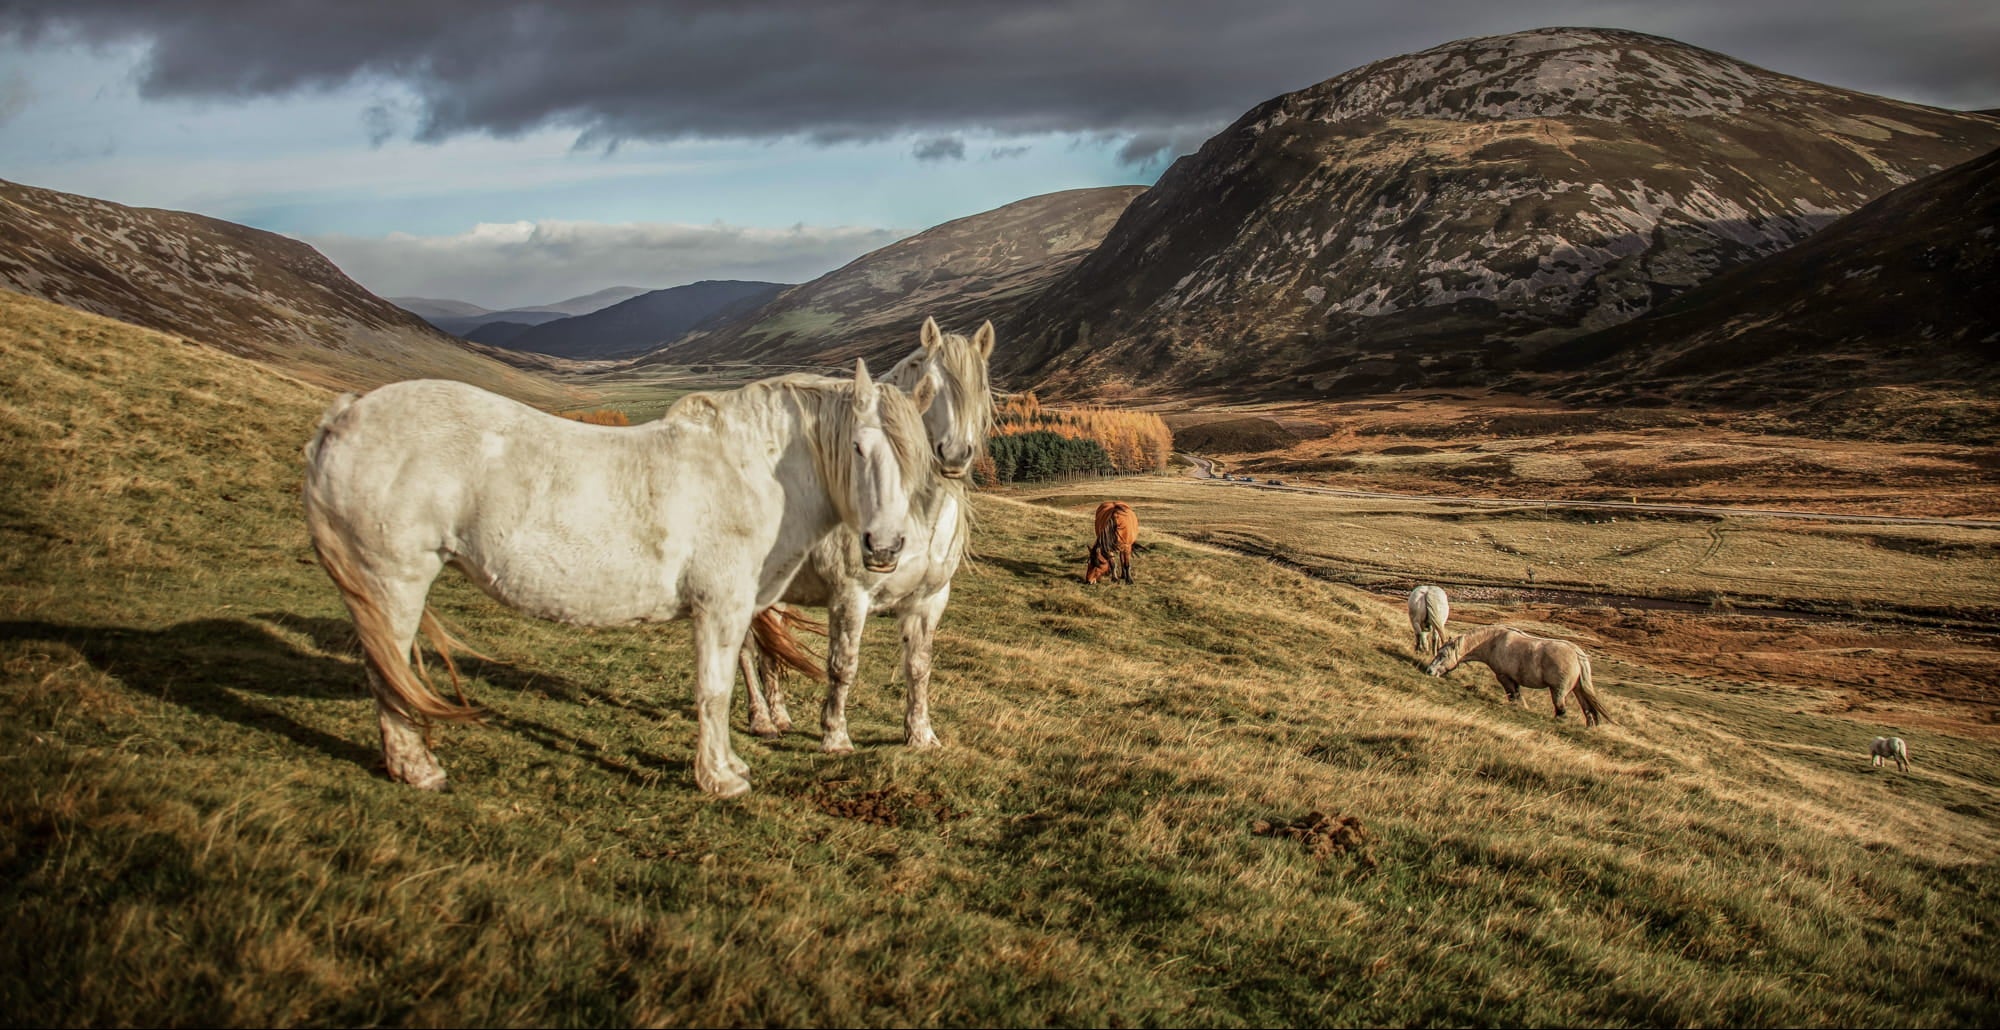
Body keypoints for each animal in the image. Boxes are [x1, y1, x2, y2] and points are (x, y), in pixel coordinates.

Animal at [302, 360, 936, 797]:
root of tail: (345, 416)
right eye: (858, 447)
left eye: (919, 459)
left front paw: (730, 765)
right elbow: (714, 692)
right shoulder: (720, 608)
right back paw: (418, 770)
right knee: (387, 671)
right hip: (394, 582)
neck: (750, 472)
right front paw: (719, 779)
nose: (885, 548)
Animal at [738, 317, 994, 753]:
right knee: (742, 647)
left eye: (980, 387)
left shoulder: (929, 600)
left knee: (769, 647)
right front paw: (835, 737)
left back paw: (779, 716)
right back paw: (760, 719)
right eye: (931, 386)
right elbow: (843, 665)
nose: (955, 455)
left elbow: (919, 666)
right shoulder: (849, 597)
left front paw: (921, 735)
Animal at [1425, 624, 1611, 726]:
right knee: (1589, 711)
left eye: (1442, 655)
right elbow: (1517, 695)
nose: (1429, 671)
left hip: (1558, 690)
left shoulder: (1504, 677)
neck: (1493, 642)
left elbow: (1513, 695)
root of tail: (1578, 654)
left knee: (1561, 709)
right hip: (1578, 689)